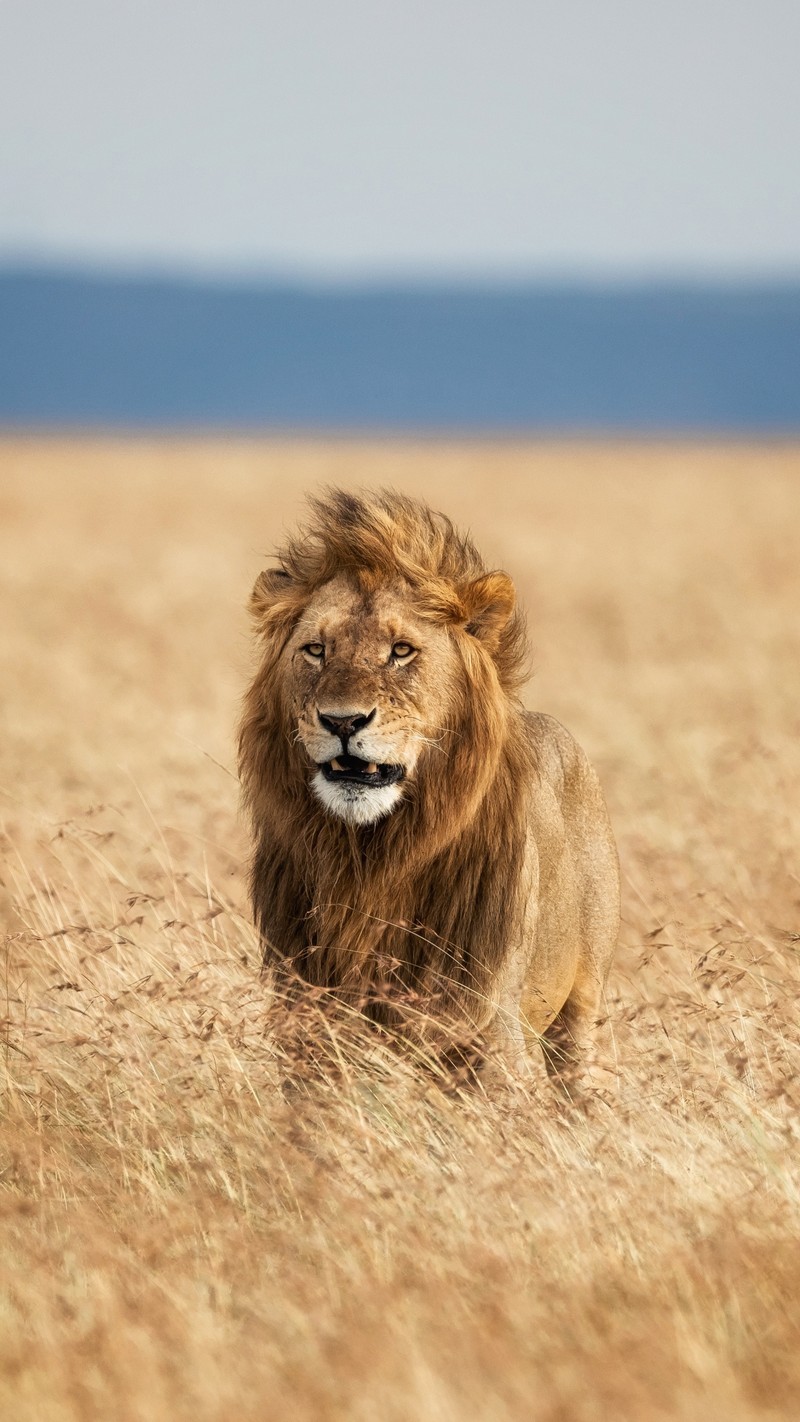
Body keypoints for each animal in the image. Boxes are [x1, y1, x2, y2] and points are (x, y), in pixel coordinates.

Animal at [237, 486, 619, 1086]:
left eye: (401, 651)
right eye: (316, 650)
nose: (342, 721)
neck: (369, 858)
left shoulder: (489, 1029)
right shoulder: (309, 1024)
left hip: (583, 1008)